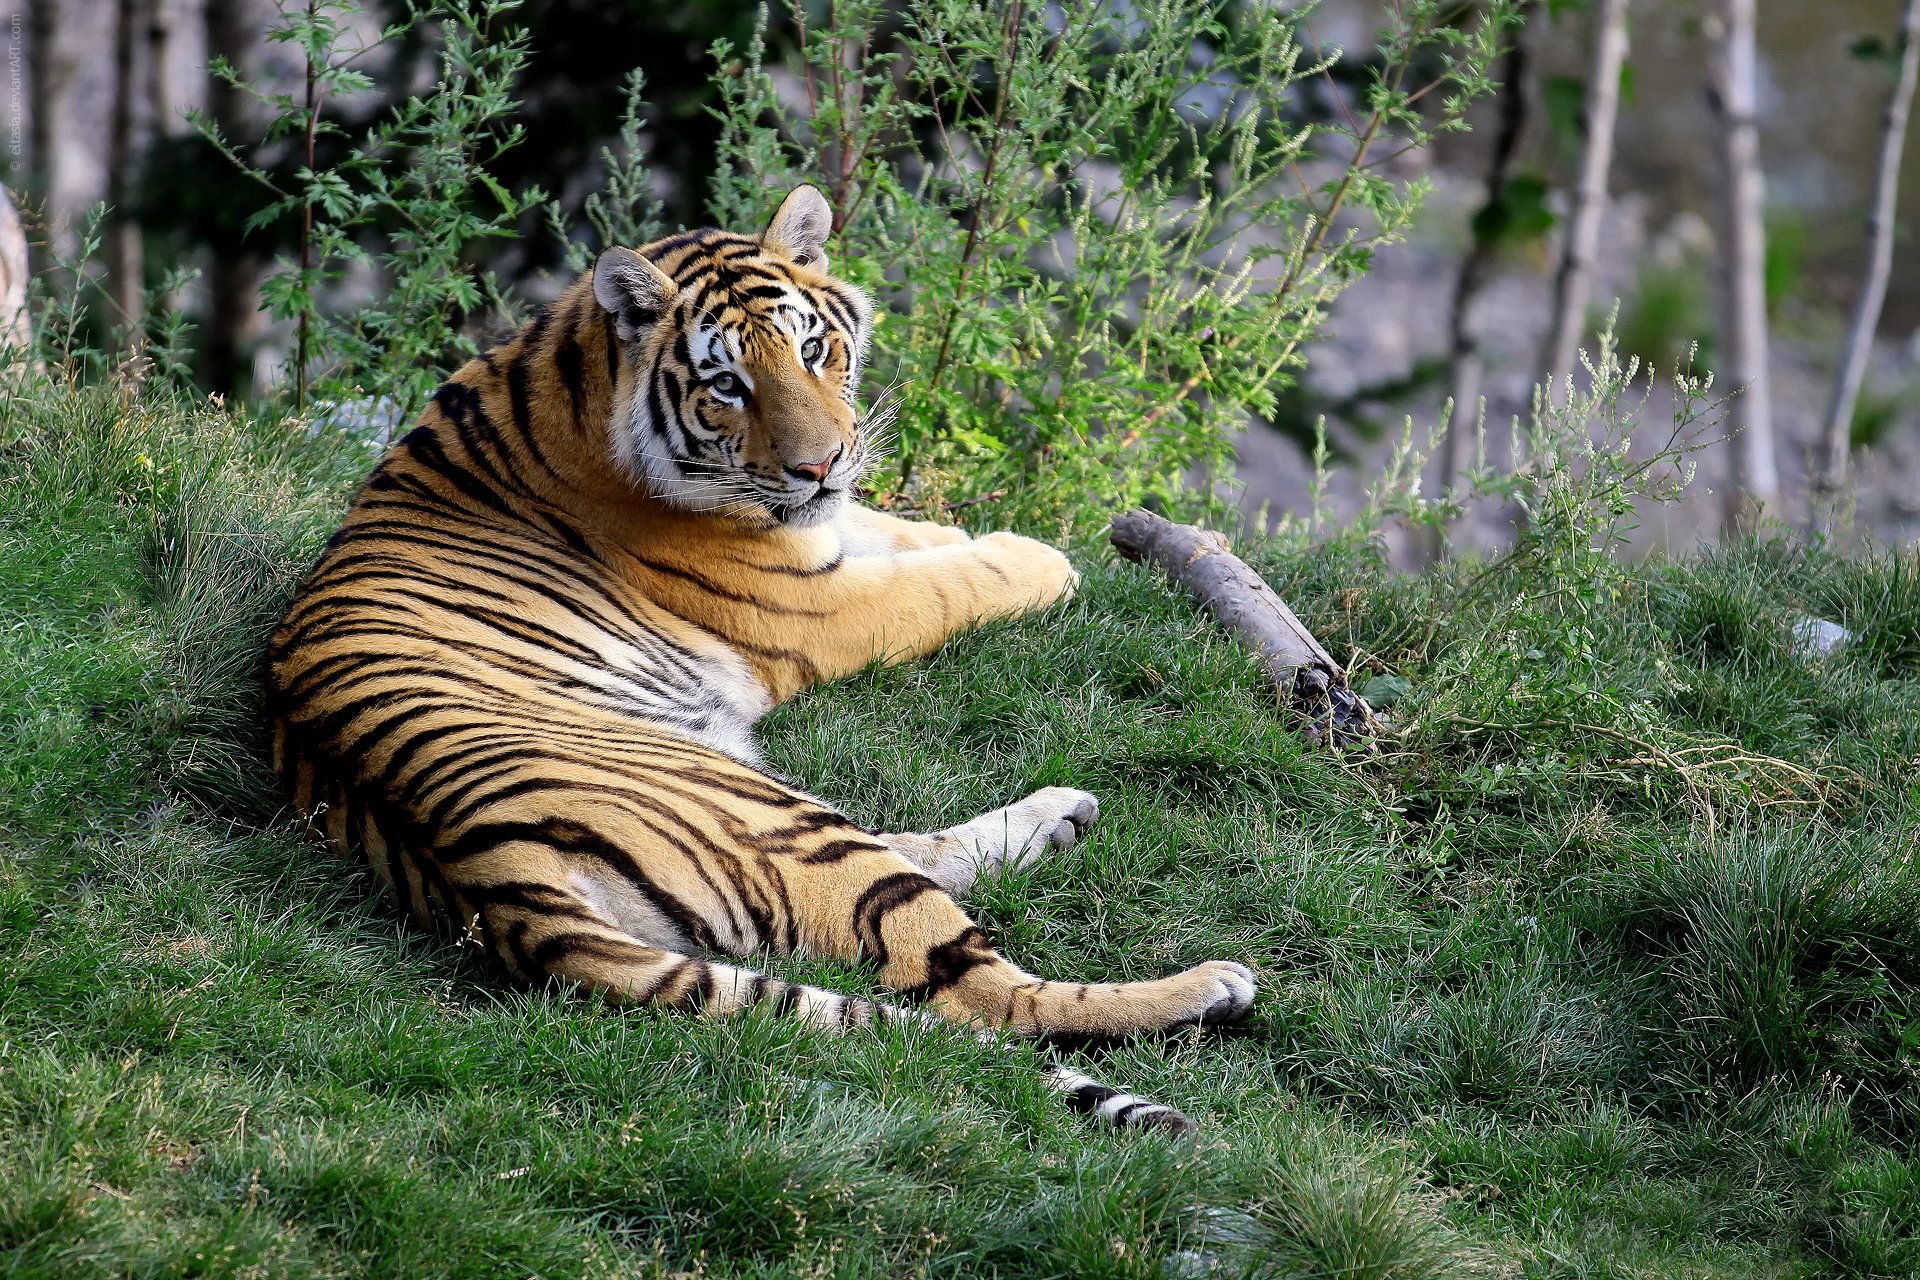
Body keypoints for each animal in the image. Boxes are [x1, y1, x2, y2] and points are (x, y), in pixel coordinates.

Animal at [264, 184, 1256, 1132]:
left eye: (814, 350)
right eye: (727, 385)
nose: (820, 465)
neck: (575, 374)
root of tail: (486, 879)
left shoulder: (824, 535)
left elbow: (900, 531)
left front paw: (957, 530)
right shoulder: (815, 604)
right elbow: (944, 583)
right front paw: (1042, 559)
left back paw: (1061, 817)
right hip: (777, 818)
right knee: (983, 993)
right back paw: (1206, 986)